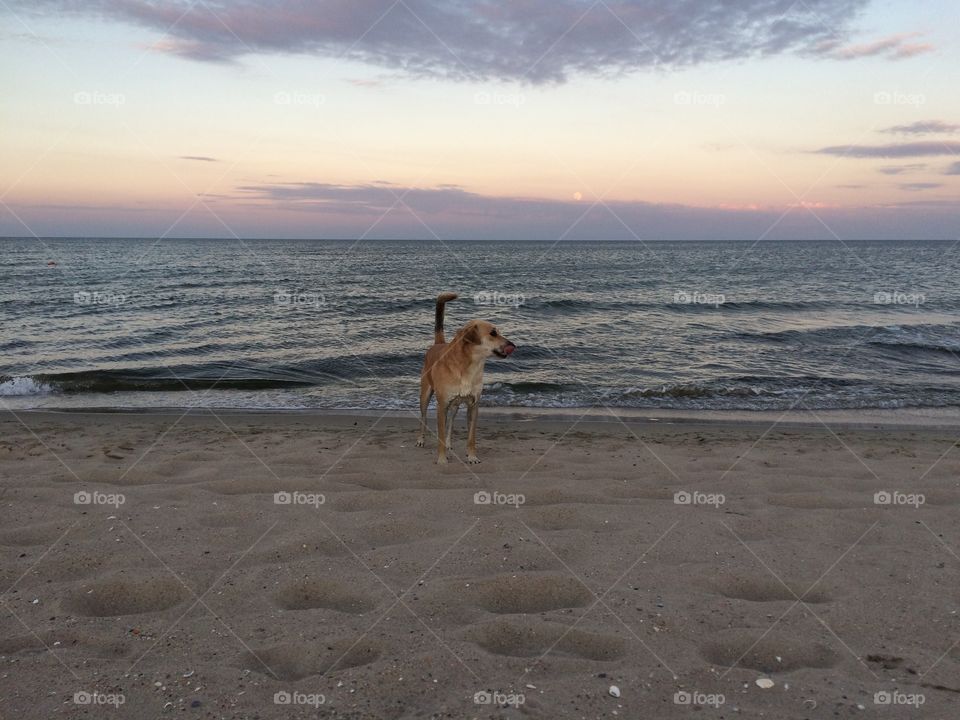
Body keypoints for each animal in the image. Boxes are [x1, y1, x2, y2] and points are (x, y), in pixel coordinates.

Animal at [414, 292, 512, 464]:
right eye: (493, 333)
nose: (512, 344)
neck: (469, 367)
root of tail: (438, 343)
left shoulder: (474, 405)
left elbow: (471, 437)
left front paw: (472, 456)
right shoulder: (442, 406)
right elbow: (440, 433)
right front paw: (442, 459)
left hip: (455, 405)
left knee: (451, 422)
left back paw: (448, 444)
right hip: (425, 395)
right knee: (424, 416)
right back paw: (421, 439)